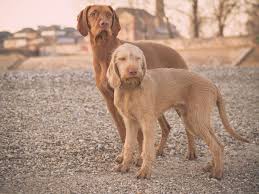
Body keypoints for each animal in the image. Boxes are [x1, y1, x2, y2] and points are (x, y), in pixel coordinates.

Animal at [76, 5, 192, 161]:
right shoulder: (111, 102)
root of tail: (176, 52)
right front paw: (124, 155)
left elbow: (139, 134)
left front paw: (139, 157)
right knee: (166, 127)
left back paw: (191, 152)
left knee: (188, 127)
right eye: (93, 13)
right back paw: (158, 150)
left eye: (108, 14)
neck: (104, 51)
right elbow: (123, 132)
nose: (104, 24)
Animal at [106, 43, 249, 180]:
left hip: (195, 120)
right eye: (122, 59)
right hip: (193, 119)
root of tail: (213, 85)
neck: (129, 89)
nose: (133, 71)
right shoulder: (130, 122)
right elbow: (128, 145)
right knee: (219, 143)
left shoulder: (148, 122)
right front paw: (124, 166)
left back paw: (217, 173)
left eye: (138, 58)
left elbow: (147, 148)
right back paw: (210, 166)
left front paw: (145, 172)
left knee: (216, 146)